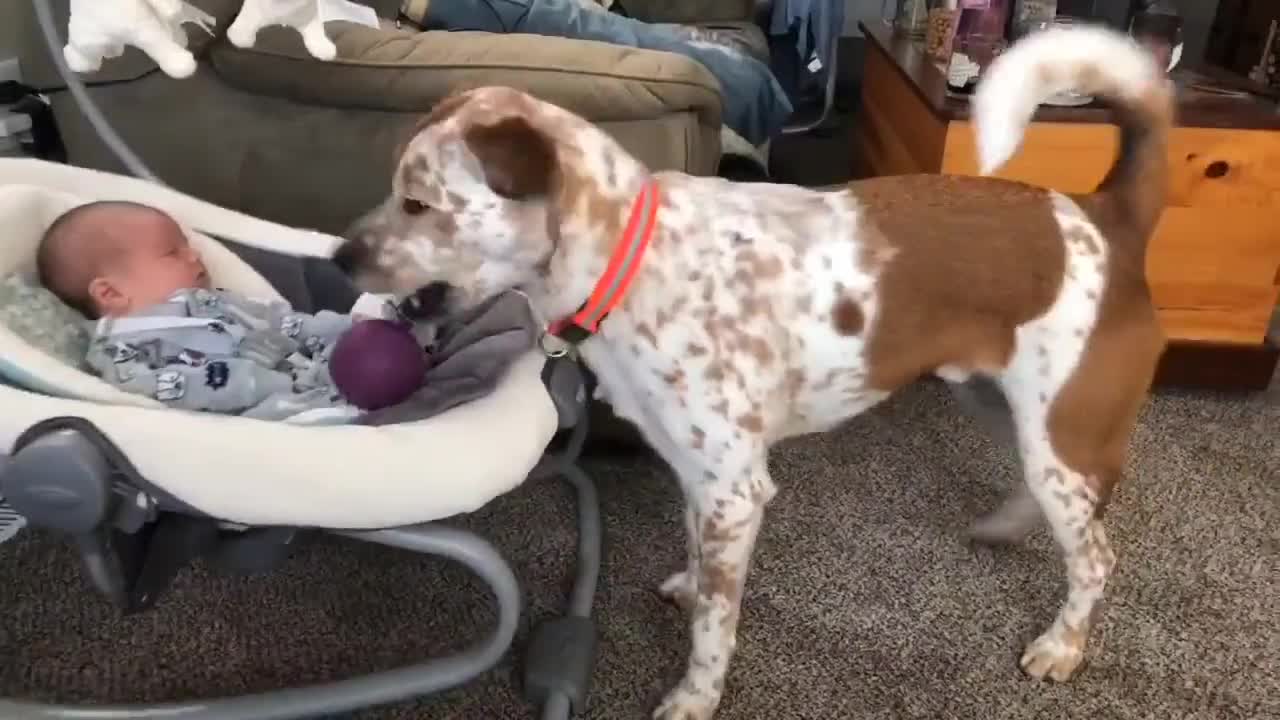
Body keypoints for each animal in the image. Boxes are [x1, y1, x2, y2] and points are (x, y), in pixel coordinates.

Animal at [335, 23, 1172, 717]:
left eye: (417, 203)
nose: (340, 257)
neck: (630, 257)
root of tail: (1103, 216)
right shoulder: (698, 476)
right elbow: (701, 565)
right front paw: (691, 583)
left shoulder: (735, 490)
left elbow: (715, 626)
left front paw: (695, 697)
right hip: (1004, 408)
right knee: (1058, 505)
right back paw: (1007, 527)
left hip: (1060, 435)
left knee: (1097, 555)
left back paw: (1063, 644)